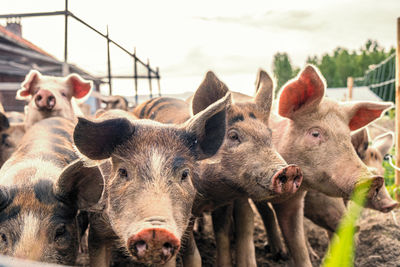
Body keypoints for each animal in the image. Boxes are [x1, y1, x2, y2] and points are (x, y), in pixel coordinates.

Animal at [134, 70, 304, 266]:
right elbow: (191, 250)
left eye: (269, 135)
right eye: (233, 136)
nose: (290, 169)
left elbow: (222, 237)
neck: (210, 194)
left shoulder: (224, 204)